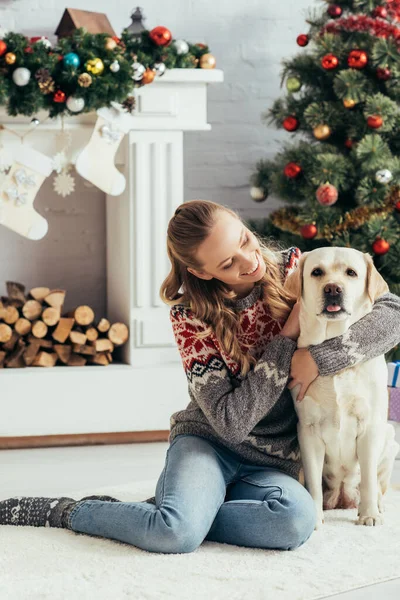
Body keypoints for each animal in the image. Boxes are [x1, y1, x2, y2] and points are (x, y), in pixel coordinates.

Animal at [284, 246, 400, 528]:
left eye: (351, 273)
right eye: (317, 272)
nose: (333, 288)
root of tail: (341, 497)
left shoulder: (369, 428)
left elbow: (368, 478)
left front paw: (369, 515)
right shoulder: (308, 431)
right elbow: (314, 483)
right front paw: (315, 519)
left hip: (390, 438)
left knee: (378, 485)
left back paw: (377, 506)